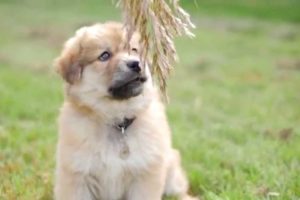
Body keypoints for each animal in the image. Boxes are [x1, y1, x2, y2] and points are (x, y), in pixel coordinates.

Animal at [54, 22, 197, 200]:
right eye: (104, 55)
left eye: (134, 50)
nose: (136, 64)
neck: (117, 121)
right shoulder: (78, 175)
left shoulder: (145, 172)